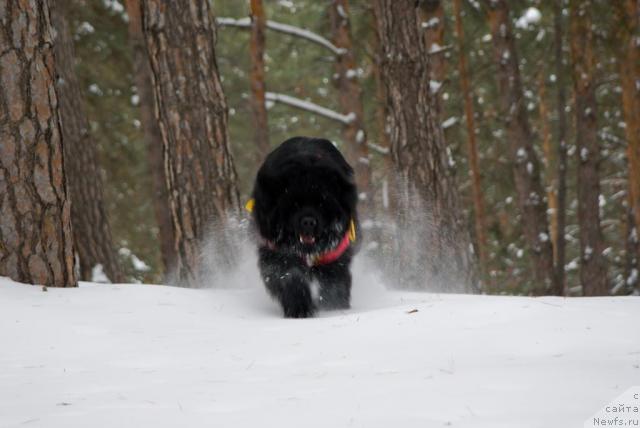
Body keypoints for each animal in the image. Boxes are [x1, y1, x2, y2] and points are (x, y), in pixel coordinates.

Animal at [249, 137, 360, 318]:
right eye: (294, 204)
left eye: (321, 203)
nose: (308, 221)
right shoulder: (277, 252)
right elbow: (291, 277)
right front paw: (300, 309)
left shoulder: (334, 254)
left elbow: (335, 281)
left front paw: (334, 308)